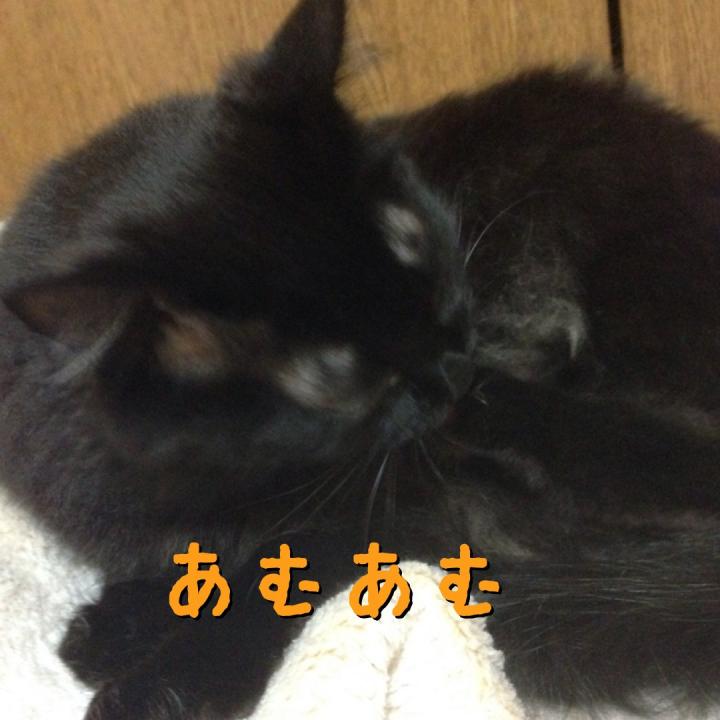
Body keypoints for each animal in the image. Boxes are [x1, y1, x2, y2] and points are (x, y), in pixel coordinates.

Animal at [2, 0, 720, 718]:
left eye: (423, 250)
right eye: (335, 371)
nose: (456, 368)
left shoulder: (404, 505)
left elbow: (278, 568)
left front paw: (162, 682)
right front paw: (116, 621)